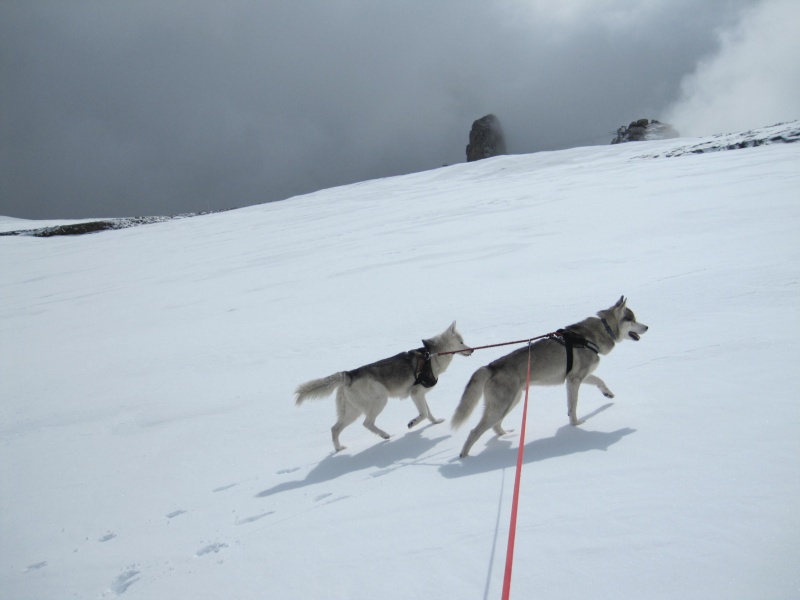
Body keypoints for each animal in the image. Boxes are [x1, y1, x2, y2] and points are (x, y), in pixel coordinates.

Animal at [296, 322, 472, 452]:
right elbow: (422, 414)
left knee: (335, 429)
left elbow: (428, 414)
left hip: (352, 412)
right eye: (461, 342)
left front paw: (435, 422)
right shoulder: (415, 393)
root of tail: (349, 374)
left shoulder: (420, 395)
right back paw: (385, 435)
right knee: (367, 423)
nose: (471, 350)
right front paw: (412, 423)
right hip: (380, 400)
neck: (432, 355)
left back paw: (340, 449)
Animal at [454, 298, 648, 458]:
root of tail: (490, 367)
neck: (597, 333)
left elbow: (599, 381)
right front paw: (576, 425)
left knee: (495, 427)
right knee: (474, 432)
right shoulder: (574, 380)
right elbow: (573, 407)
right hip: (503, 406)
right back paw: (465, 457)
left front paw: (608, 394)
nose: (647, 327)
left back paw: (508, 435)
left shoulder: (579, 376)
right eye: (632, 319)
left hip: (512, 401)